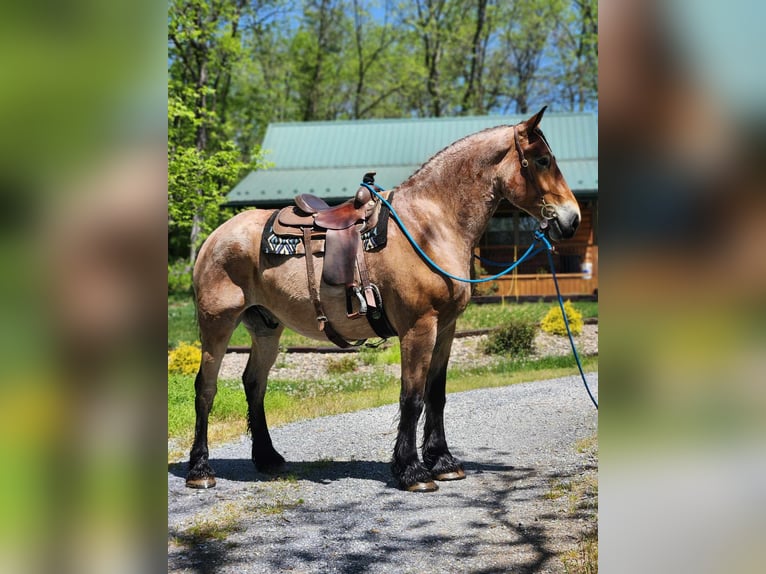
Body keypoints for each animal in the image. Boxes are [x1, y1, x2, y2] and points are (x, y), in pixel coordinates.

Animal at [188, 108, 584, 496]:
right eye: (543, 160)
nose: (572, 219)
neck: (429, 226)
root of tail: (214, 238)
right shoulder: (419, 327)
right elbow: (412, 397)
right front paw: (412, 471)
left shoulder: (446, 328)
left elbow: (436, 394)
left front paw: (443, 462)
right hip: (217, 325)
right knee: (206, 387)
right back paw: (200, 470)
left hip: (267, 328)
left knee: (254, 383)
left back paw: (268, 457)